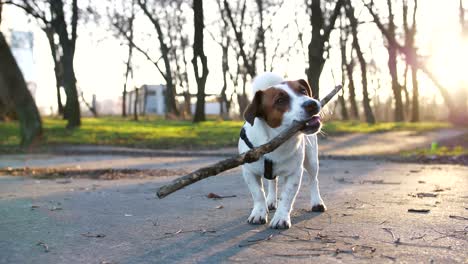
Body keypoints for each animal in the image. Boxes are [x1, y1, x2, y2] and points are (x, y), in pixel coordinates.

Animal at [238, 72, 326, 229]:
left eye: (303, 91)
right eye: (280, 100)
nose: (312, 103)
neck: (276, 142)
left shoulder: (294, 173)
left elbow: (287, 197)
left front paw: (281, 218)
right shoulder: (249, 172)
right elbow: (258, 193)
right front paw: (259, 213)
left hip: (311, 160)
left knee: (313, 180)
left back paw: (317, 202)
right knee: (272, 182)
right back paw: (271, 201)